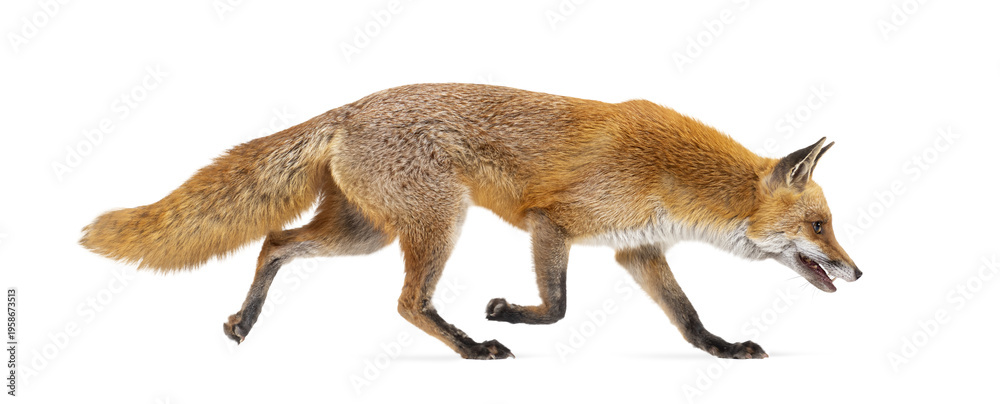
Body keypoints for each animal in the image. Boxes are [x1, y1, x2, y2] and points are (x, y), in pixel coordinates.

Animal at [80, 83, 861, 360]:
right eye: (822, 227)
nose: (859, 272)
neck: (672, 177)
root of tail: (352, 107)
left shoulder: (636, 250)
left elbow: (688, 316)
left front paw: (721, 350)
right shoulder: (553, 223)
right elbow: (558, 306)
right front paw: (506, 314)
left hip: (363, 232)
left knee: (276, 240)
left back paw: (244, 322)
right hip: (437, 221)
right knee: (406, 303)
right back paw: (469, 346)